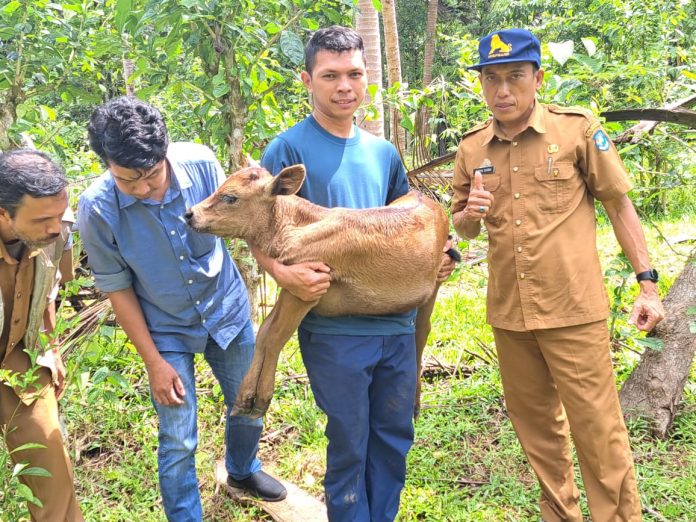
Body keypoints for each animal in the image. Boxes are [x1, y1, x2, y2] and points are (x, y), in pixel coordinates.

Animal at [185, 165, 454, 416]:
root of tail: (430, 200)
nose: (189, 213)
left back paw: (415, 404)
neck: (289, 231)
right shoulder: (291, 284)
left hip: (433, 286)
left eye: (230, 197)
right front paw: (243, 399)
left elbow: (275, 337)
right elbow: (263, 332)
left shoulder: (308, 287)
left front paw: (260, 401)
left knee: (422, 332)